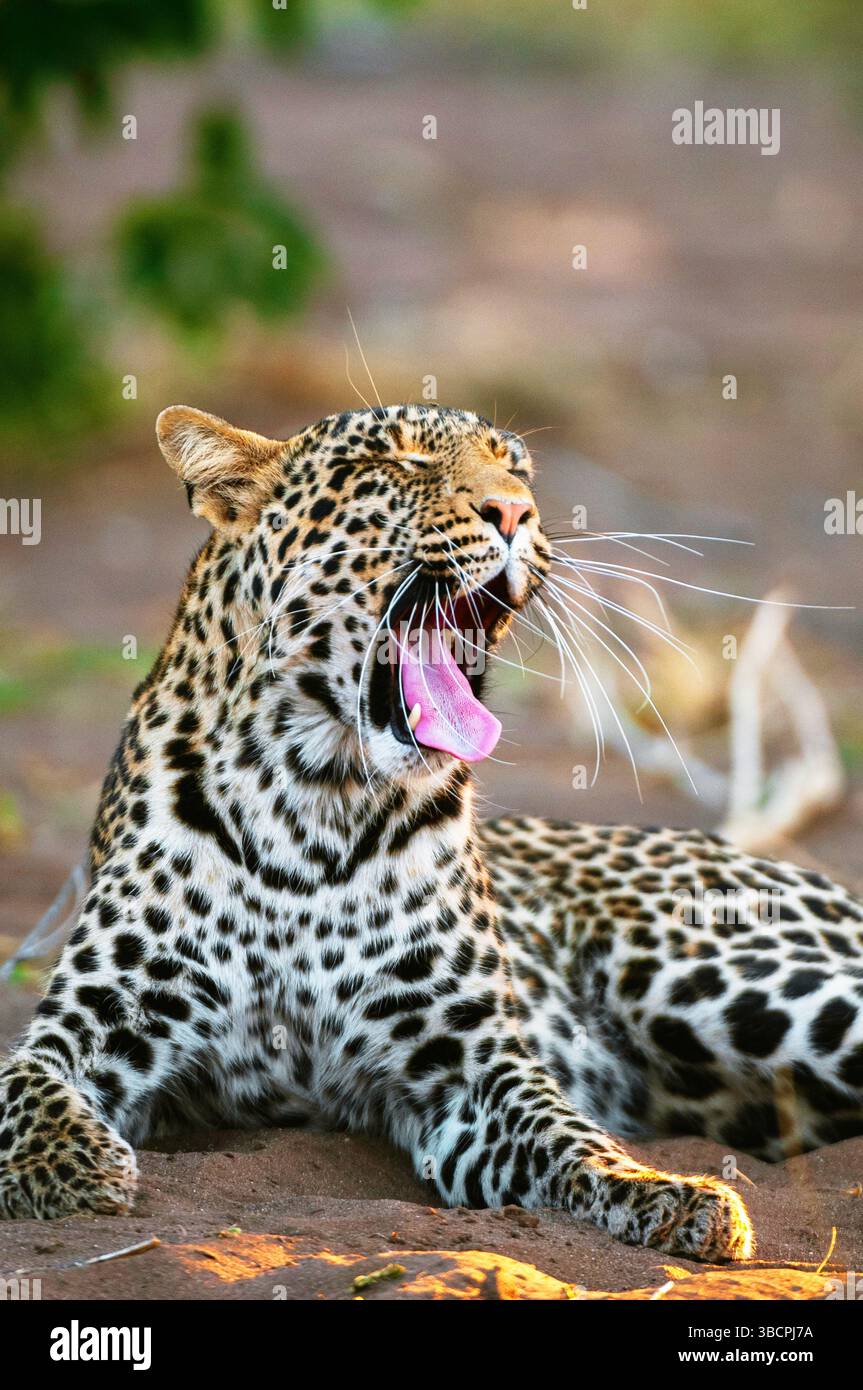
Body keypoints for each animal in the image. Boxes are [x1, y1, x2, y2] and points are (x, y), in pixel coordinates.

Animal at [3, 400, 863, 1264]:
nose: (512, 512)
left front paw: (670, 1192)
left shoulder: (473, 1064)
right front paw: (68, 1165)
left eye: (514, 468)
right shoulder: (98, 1013)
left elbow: (571, 1136)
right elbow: (23, 1083)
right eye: (399, 461)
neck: (314, 806)